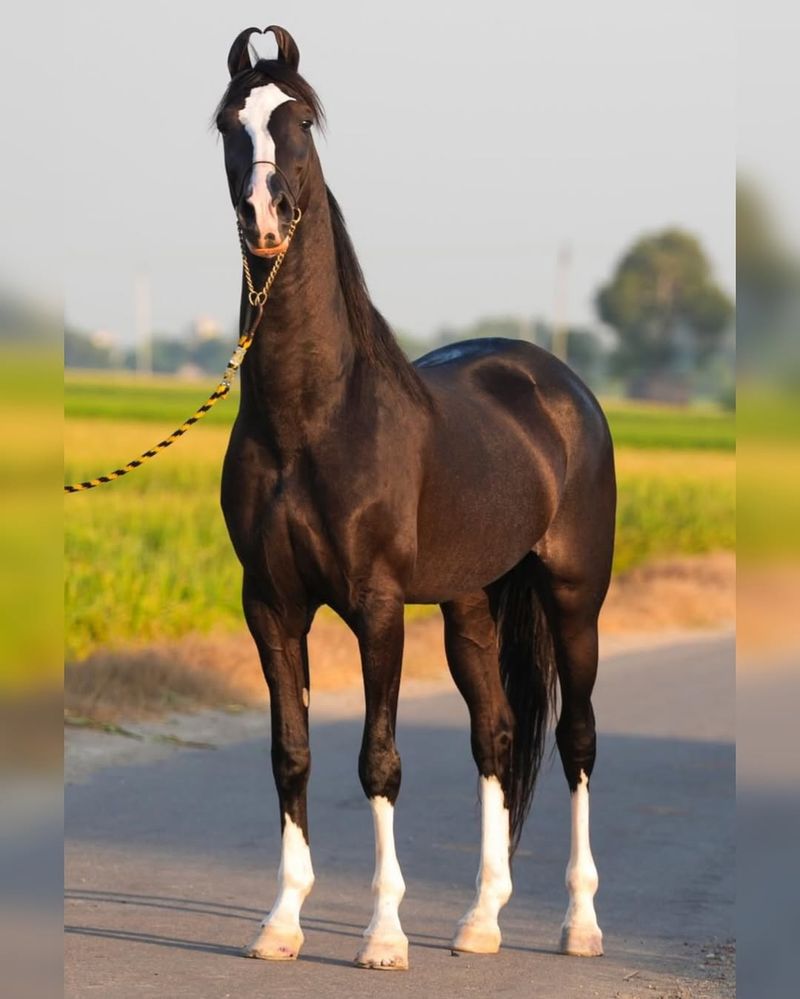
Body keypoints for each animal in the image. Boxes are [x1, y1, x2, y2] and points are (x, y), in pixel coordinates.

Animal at [216, 27, 616, 972]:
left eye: (299, 119)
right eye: (225, 122)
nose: (263, 219)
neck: (311, 419)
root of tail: (559, 384)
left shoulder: (378, 606)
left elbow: (380, 760)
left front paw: (384, 935)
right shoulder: (271, 604)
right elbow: (292, 754)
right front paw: (281, 922)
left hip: (575, 598)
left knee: (577, 739)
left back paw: (579, 923)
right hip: (471, 603)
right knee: (496, 736)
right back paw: (480, 920)